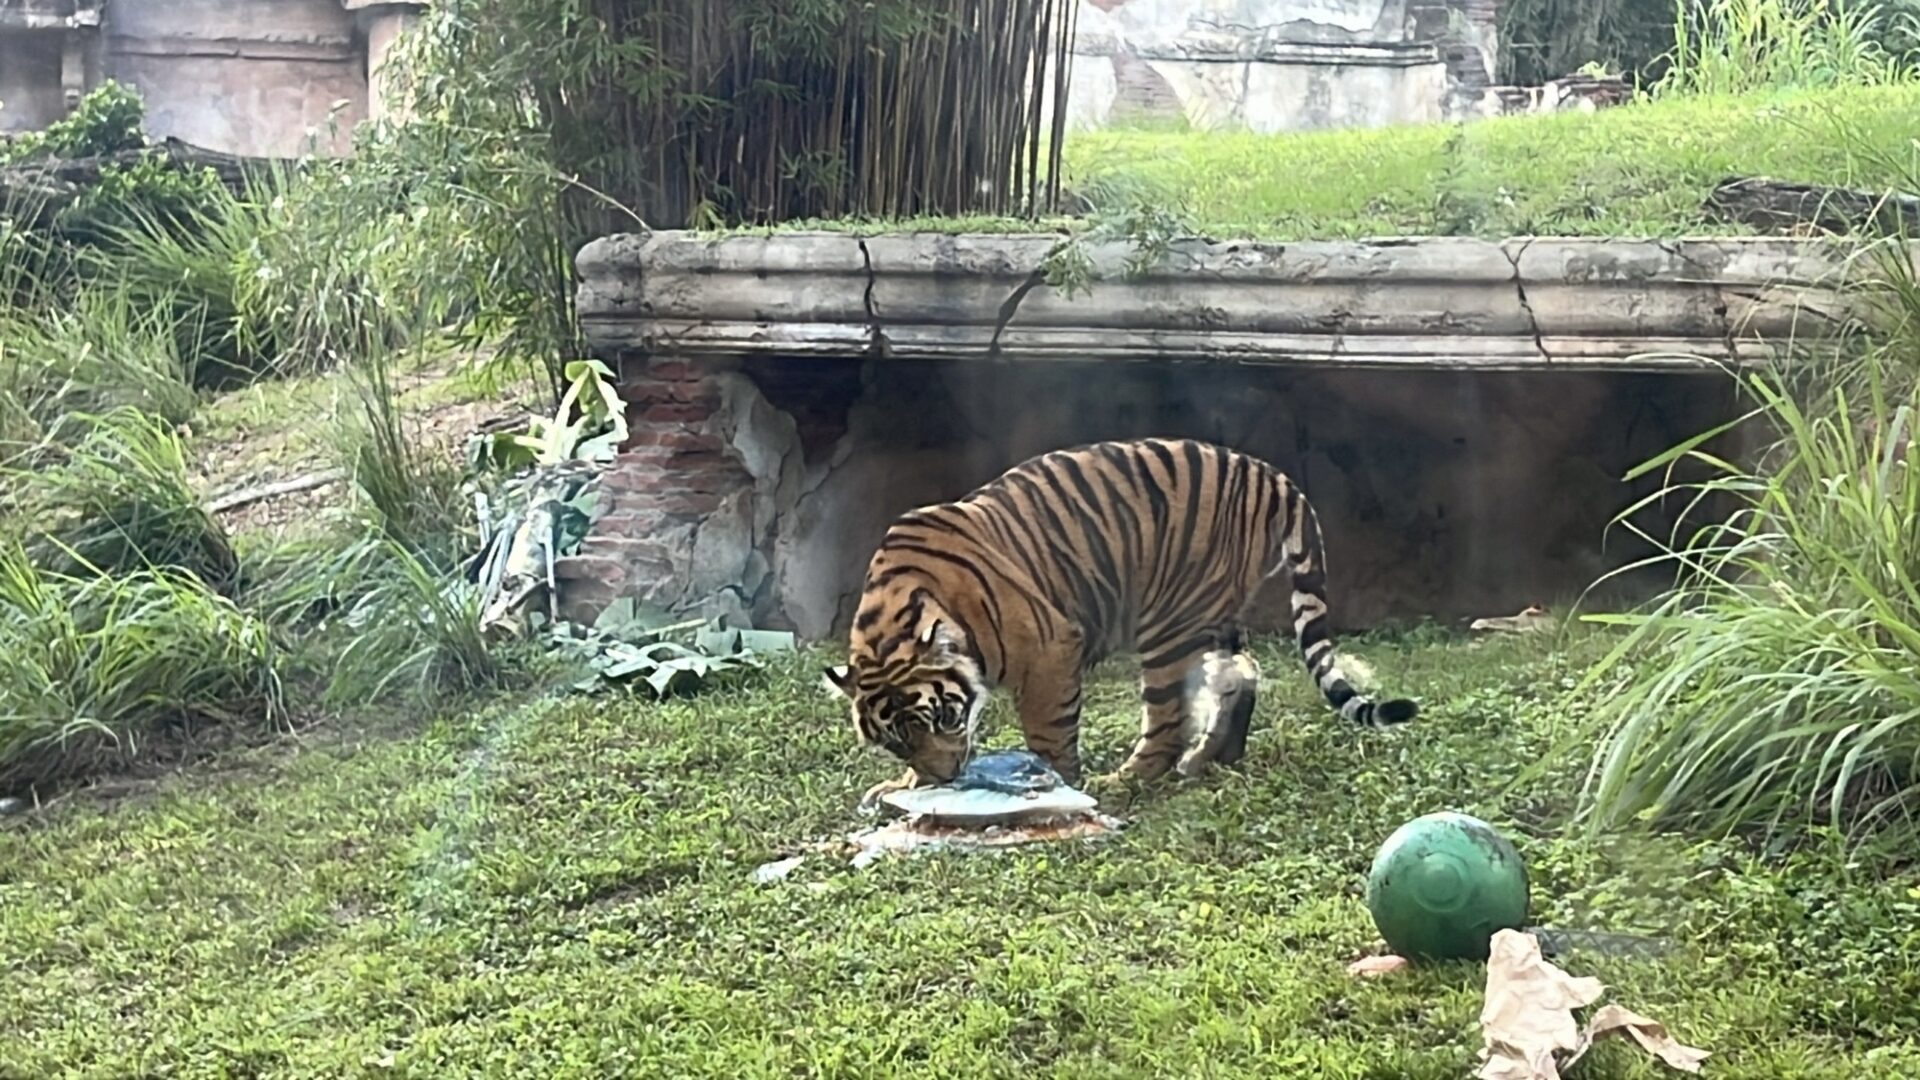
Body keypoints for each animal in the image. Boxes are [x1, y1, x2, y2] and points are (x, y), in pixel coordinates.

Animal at [822, 437, 1417, 804]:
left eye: (942, 717)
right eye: (896, 741)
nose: (944, 778)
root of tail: (1272, 476)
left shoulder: (1051, 648)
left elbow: (1049, 731)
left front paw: (1055, 785)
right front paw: (906, 785)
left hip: (1168, 626)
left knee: (1170, 720)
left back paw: (1127, 780)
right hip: (1213, 615)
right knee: (1241, 675)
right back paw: (1210, 761)